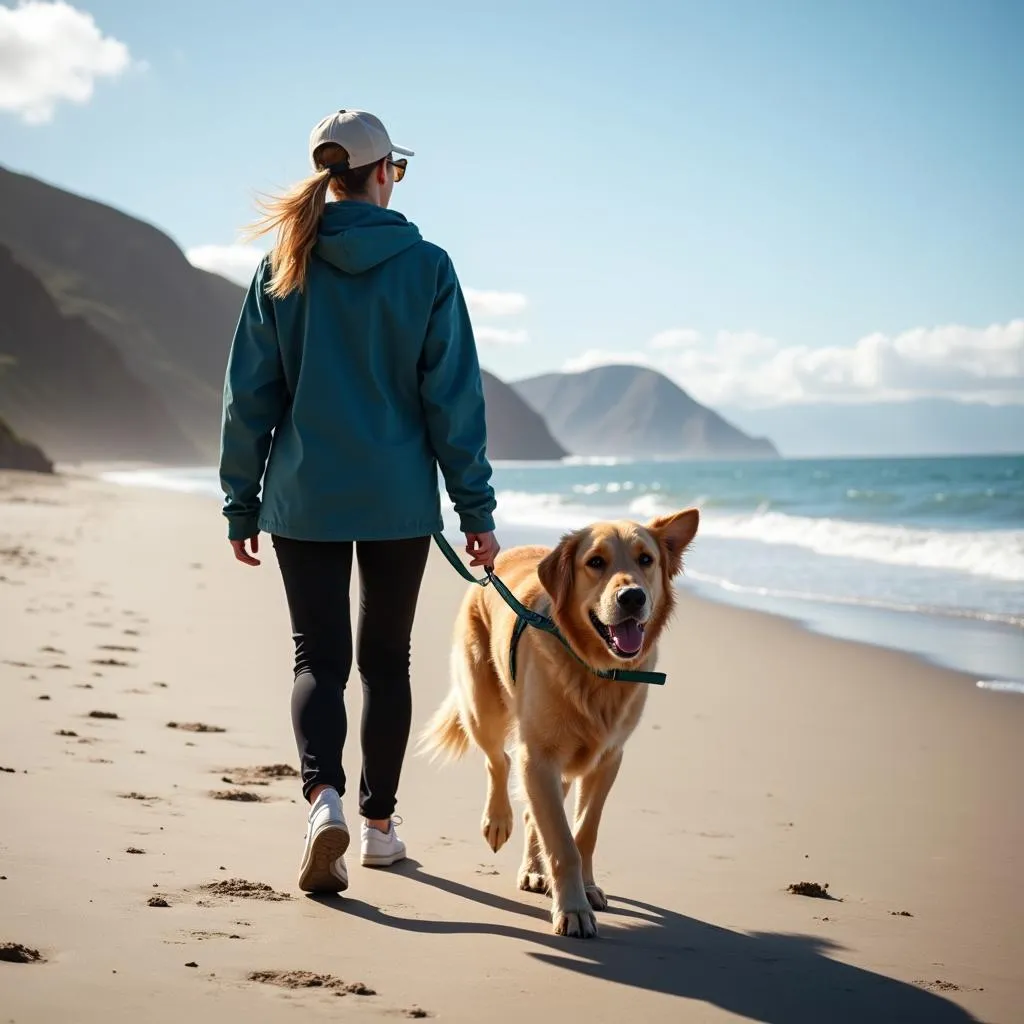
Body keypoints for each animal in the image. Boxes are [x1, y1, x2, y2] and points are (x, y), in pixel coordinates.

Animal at [419, 505, 700, 937]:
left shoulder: (606, 759)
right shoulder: (539, 757)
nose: (633, 596)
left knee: (533, 808)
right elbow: (563, 843)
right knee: (498, 761)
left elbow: (583, 832)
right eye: (595, 562)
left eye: (646, 560)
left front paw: (586, 887)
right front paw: (573, 908)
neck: (596, 670)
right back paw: (498, 821)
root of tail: (491, 567)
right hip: (484, 708)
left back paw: (535, 869)